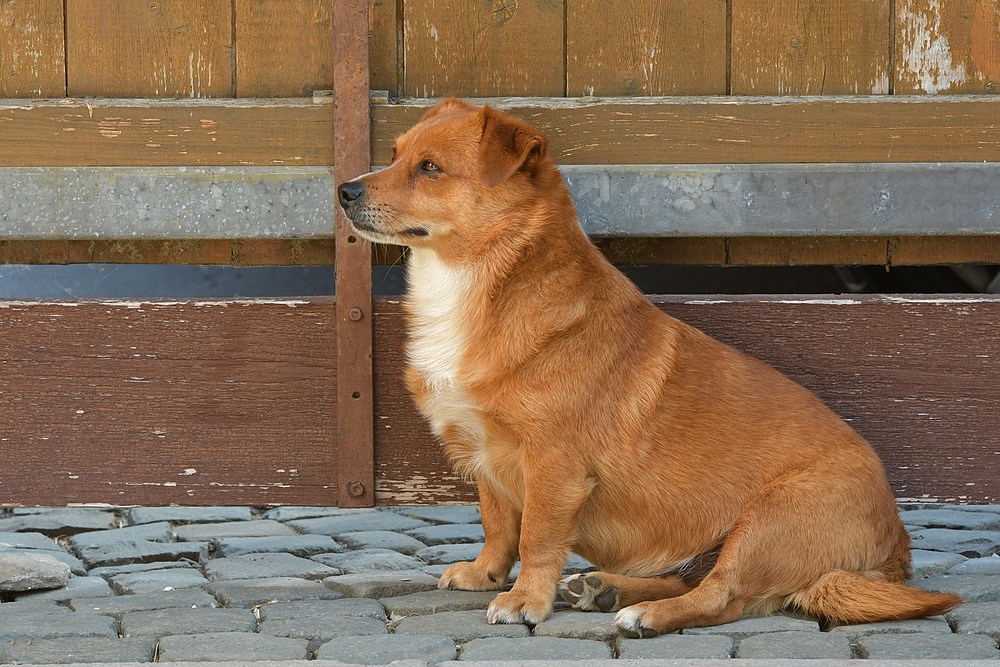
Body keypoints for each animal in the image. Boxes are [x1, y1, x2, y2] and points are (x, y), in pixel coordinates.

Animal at [338, 99, 960, 636]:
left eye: (429, 168)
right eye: (394, 154)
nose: (343, 190)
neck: (475, 286)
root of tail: (896, 549)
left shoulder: (554, 469)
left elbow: (536, 537)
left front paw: (523, 600)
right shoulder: (483, 454)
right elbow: (497, 524)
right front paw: (485, 573)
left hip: (765, 525)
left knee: (721, 597)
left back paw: (645, 615)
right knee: (688, 579)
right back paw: (606, 590)